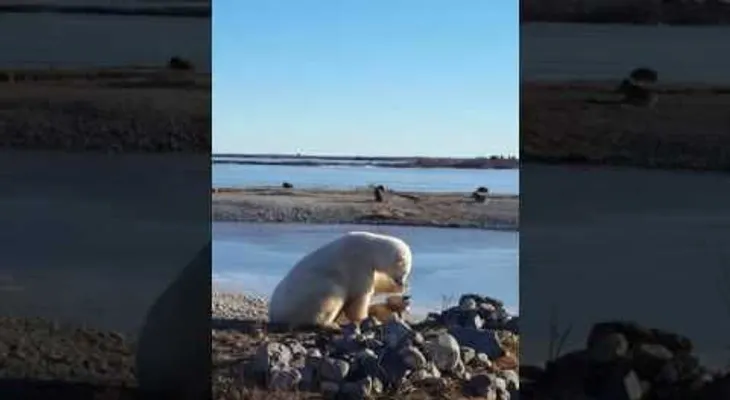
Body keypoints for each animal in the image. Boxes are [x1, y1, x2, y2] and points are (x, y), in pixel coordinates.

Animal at [268, 231, 412, 330]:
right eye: (404, 272)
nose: (402, 282)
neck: (370, 247)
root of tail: (274, 314)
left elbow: (376, 282)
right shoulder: (358, 262)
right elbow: (361, 293)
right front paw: (362, 318)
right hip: (308, 296)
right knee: (332, 294)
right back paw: (330, 324)